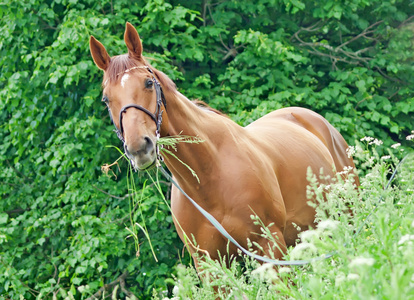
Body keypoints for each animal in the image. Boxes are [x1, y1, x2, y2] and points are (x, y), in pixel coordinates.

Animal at [89, 22, 358, 268]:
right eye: (105, 99)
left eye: (147, 83)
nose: (139, 148)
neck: (208, 178)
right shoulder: (210, 266)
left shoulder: (270, 246)